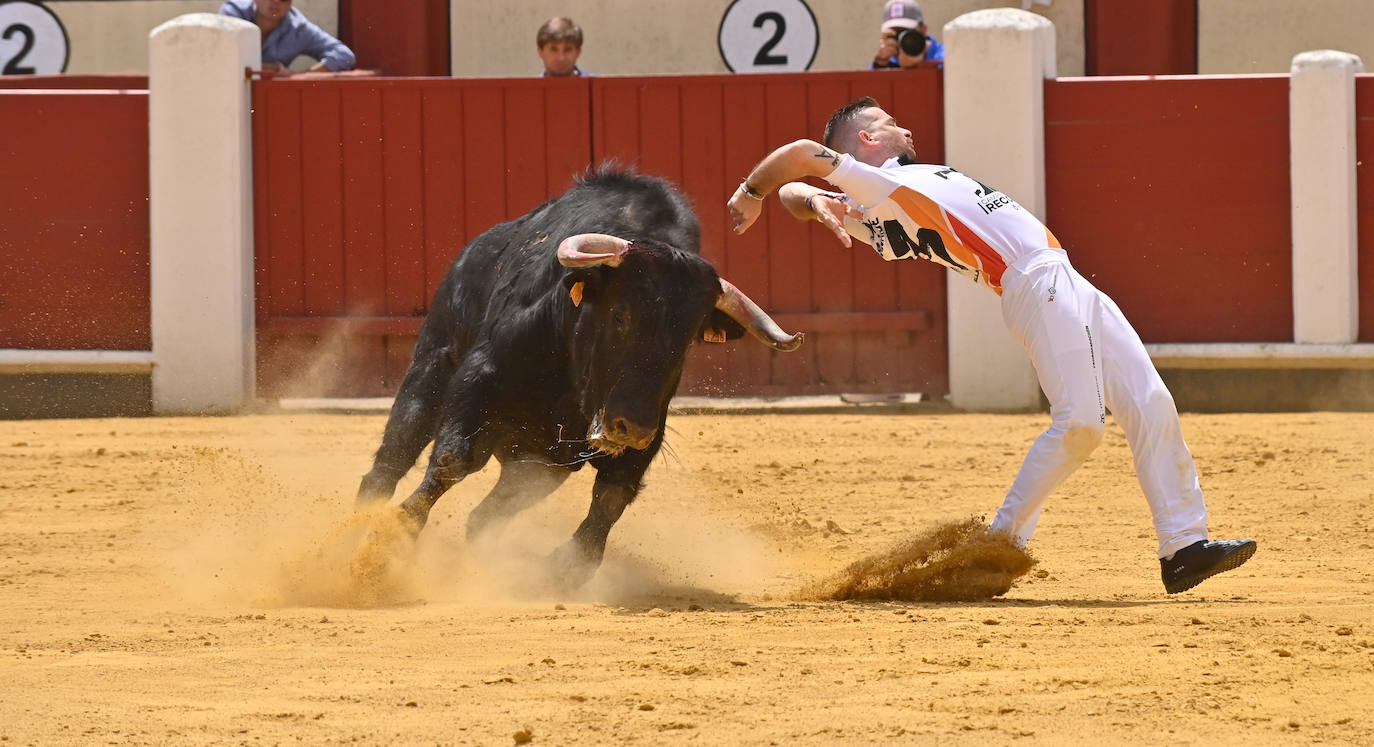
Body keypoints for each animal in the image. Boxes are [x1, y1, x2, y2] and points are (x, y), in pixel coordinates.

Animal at [357, 164, 802, 590]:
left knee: (486, 514)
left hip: (540, 464)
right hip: (431, 370)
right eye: (620, 316)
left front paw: (564, 569)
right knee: (392, 460)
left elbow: (612, 496)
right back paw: (361, 521)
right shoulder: (479, 381)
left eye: (688, 338)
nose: (631, 428)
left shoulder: (646, 430)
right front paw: (385, 542)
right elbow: (453, 460)